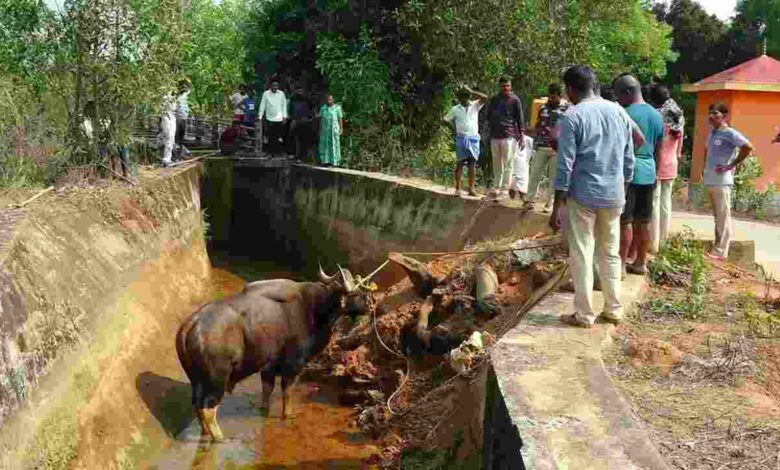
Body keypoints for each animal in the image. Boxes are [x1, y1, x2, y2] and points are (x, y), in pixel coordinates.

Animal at [175, 265, 369, 441]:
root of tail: (192, 324)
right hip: (216, 380)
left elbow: (267, 390)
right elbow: (287, 392)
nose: (368, 304)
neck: (313, 308)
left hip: (196, 380)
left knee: (197, 406)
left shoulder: (268, 366)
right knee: (208, 409)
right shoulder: (293, 364)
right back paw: (220, 437)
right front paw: (288, 415)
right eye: (356, 294)